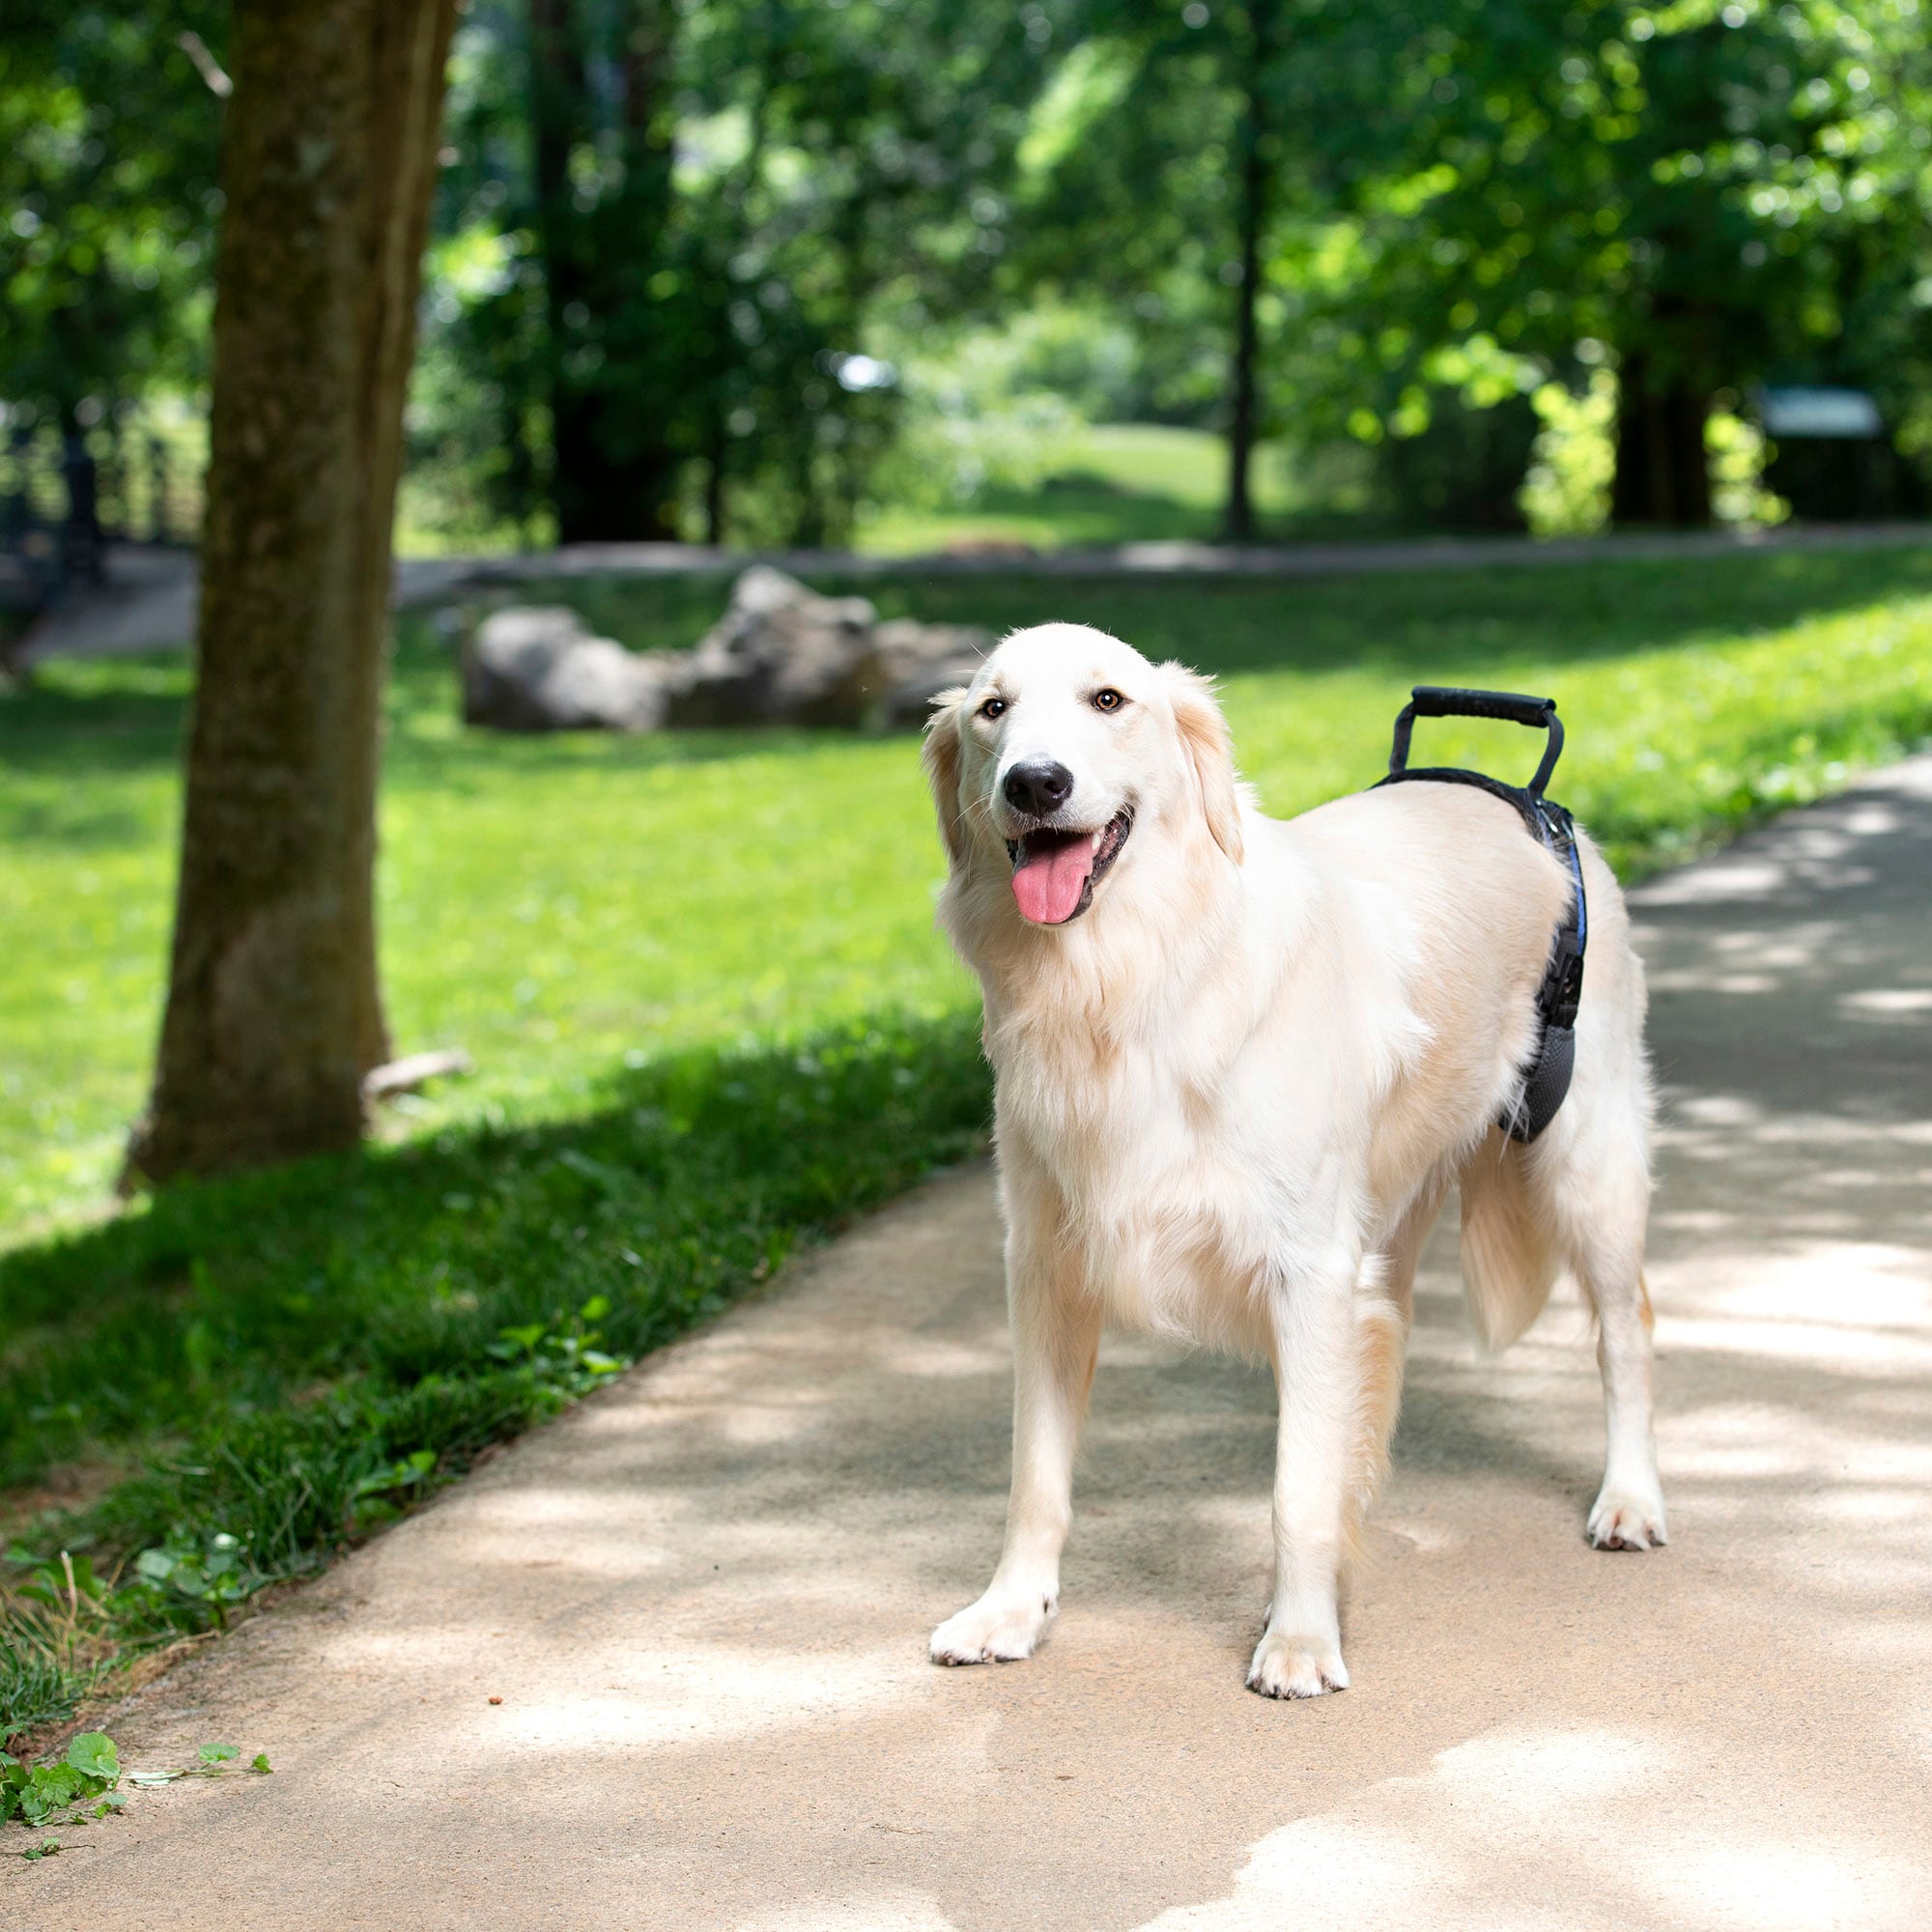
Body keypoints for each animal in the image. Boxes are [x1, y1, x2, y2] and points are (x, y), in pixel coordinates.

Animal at [916, 626, 1662, 1700]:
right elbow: (1036, 1478)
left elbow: (1295, 1487)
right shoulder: (1048, 1267)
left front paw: (1300, 1637)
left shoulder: (1307, 1274)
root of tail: (1524, 803)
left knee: (1624, 1330)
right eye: (991, 710)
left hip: (1586, 1161)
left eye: (1109, 700)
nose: (1035, 783)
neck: (1136, 975)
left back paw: (1630, 1497)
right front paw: (1009, 1610)